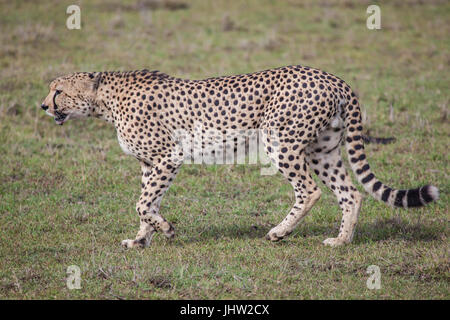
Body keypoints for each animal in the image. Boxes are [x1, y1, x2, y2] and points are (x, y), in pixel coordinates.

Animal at [41, 66, 440, 249]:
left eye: (58, 90)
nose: (43, 106)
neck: (104, 100)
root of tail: (331, 76)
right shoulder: (150, 164)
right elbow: (146, 204)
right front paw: (140, 241)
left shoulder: (169, 157)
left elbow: (142, 203)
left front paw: (165, 230)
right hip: (323, 150)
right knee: (351, 193)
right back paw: (341, 241)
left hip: (282, 142)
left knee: (309, 191)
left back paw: (280, 232)